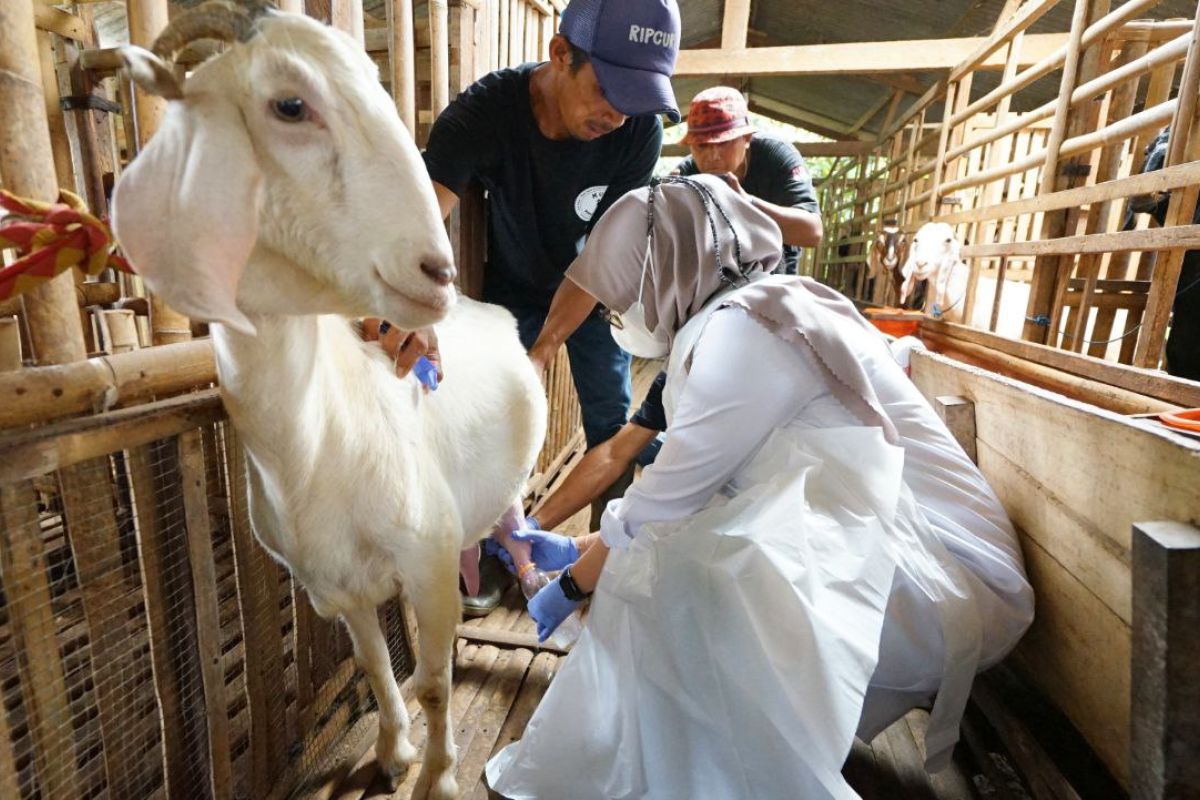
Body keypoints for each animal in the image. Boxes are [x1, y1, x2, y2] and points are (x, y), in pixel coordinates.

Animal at [112, 3, 544, 796]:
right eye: (290, 105)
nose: (436, 271)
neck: (316, 449)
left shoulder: (425, 561)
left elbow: (434, 683)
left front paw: (438, 775)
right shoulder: (332, 585)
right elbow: (376, 667)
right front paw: (394, 752)